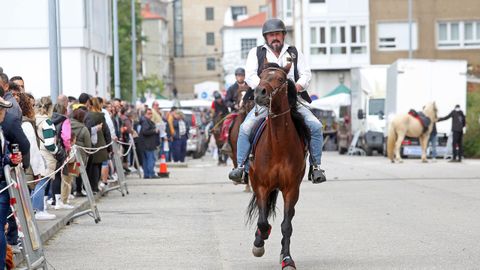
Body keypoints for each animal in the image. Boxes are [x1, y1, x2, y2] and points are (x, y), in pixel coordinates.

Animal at [246, 62, 310, 268]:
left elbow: (286, 226)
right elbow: (262, 221)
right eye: (260, 76)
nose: (260, 93)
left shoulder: (291, 189)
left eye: (281, 79)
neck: (278, 146)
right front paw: (259, 242)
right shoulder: (261, 186)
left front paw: (287, 258)